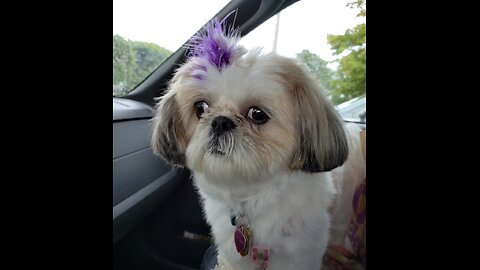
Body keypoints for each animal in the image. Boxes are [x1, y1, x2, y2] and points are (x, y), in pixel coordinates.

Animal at [152, 15, 366, 270]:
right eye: (200, 108)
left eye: (257, 114)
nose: (220, 122)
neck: (251, 196)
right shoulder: (237, 257)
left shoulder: (298, 256)